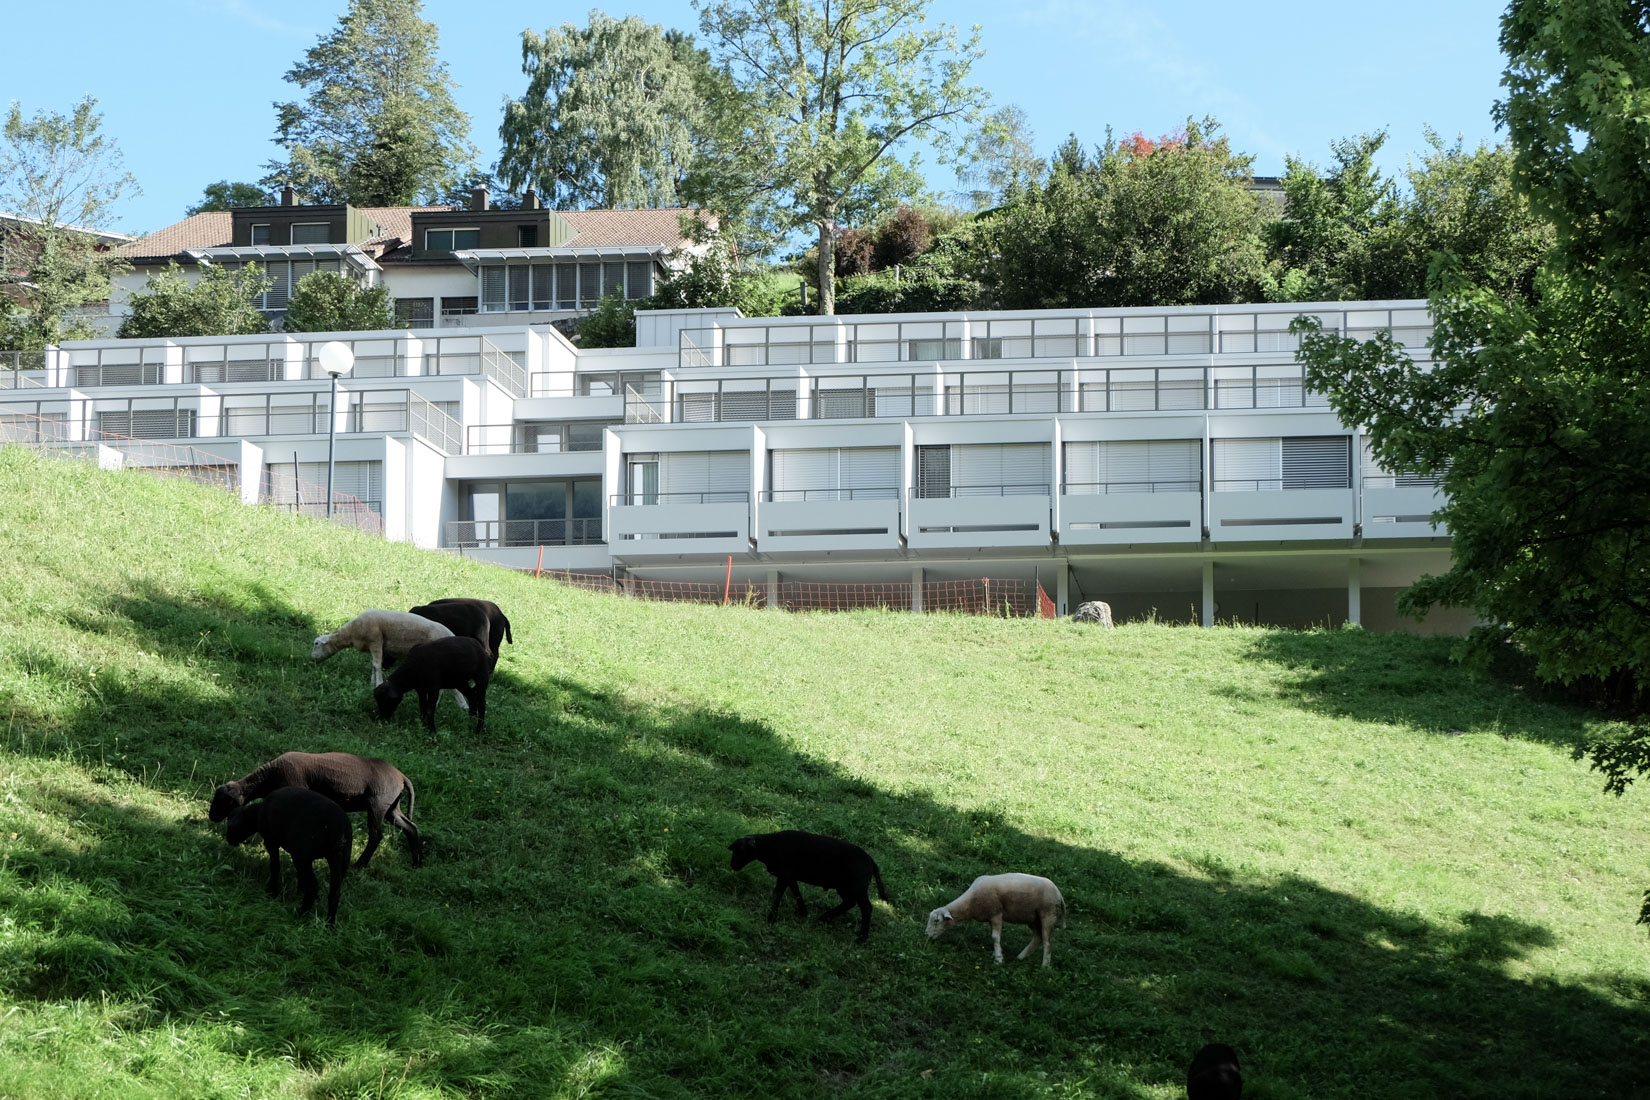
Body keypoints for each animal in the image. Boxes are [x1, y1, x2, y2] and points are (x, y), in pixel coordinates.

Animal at [206, 752, 422, 870]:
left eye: (225, 801)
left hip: (377, 804)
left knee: (376, 835)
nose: (212, 817)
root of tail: (401, 776)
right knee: (410, 827)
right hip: (391, 807)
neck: (270, 777)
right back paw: (417, 862)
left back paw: (359, 865)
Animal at [226, 788, 351, 923]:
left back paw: (301, 915)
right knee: (335, 892)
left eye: (232, 827)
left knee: (313, 887)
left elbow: (275, 866)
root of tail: (338, 829)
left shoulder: (270, 841)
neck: (257, 812)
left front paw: (272, 892)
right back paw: (329, 923)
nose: (228, 840)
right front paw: (299, 889)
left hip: (303, 856)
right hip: (340, 859)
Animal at [729, 831, 891, 943]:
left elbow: (777, 895)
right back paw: (824, 918)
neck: (771, 846)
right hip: (845, 887)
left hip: (856, 888)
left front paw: (770, 918)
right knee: (849, 903)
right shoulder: (789, 876)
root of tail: (871, 862)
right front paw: (803, 912)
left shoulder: (784, 876)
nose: (732, 866)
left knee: (866, 908)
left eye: (740, 851)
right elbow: (796, 892)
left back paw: (862, 937)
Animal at [924, 870, 1062, 969]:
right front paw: (996, 953)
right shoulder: (990, 917)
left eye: (936, 921)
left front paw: (999, 959)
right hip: (1032, 918)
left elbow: (995, 937)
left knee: (1047, 942)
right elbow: (994, 938)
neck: (970, 903)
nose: (926, 935)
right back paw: (1020, 957)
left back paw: (1045, 966)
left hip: (1048, 915)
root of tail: (1059, 895)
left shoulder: (996, 914)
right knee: (1038, 937)